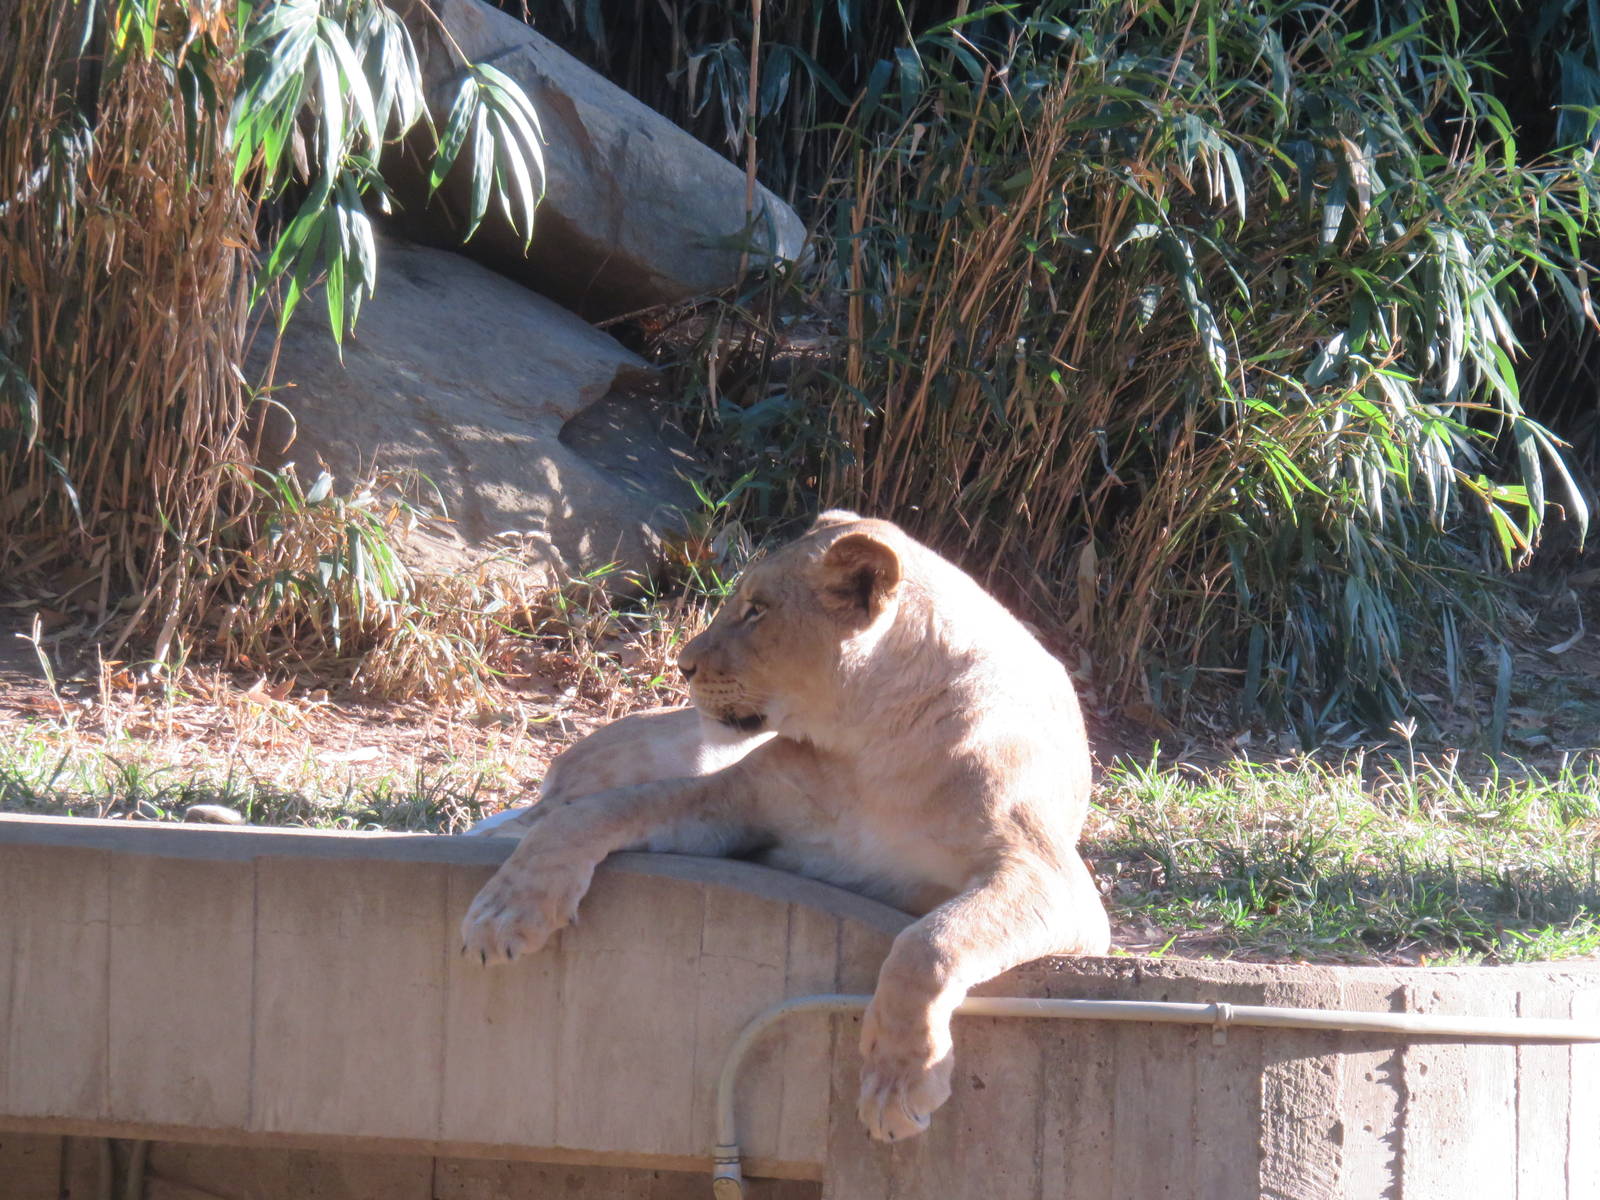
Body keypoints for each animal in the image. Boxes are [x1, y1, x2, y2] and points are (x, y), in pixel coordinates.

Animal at [461, 511, 1110, 1141]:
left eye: (757, 610)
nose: (683, 664)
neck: (872, 749)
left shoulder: (1054, 881)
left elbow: (932, 940)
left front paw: (897, 1083)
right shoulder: (731, 799)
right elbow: (595, 813)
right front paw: (504, 911)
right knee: (548, 806)